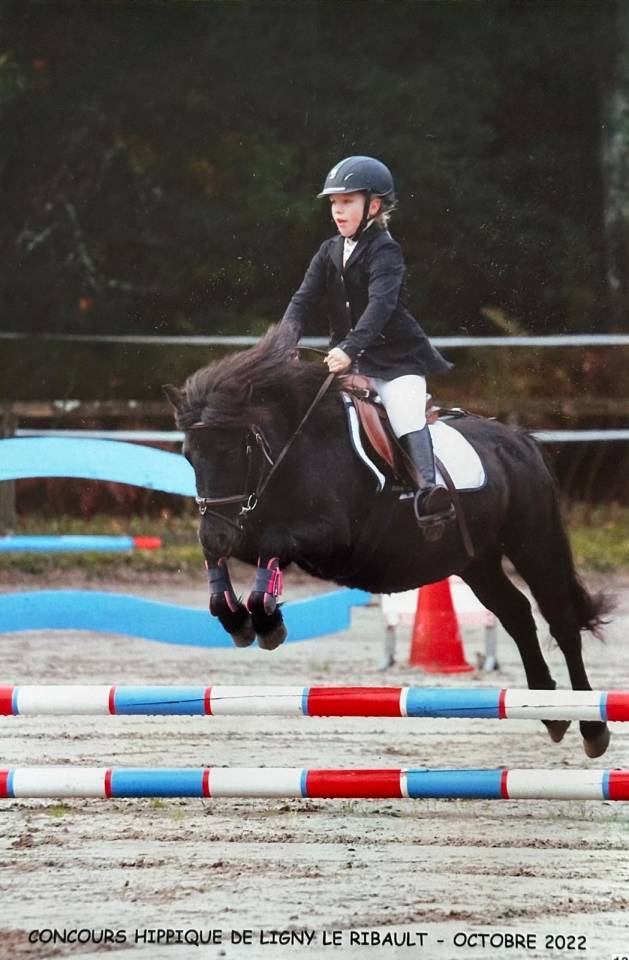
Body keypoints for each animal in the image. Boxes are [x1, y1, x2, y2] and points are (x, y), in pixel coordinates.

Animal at [164, 325, 612, 758]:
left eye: (234, 451)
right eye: (189, 456)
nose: (216, 532)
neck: (295, 449)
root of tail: (520, 441)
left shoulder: (333, 537)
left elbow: (273, 545)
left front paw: (266, 621)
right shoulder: (246, 530)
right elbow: (222, 558)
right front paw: (238, 619)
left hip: (532, 544)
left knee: (561, 621)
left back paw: (592, 728)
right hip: (476, 561)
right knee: (516, 613)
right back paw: (549, 710)